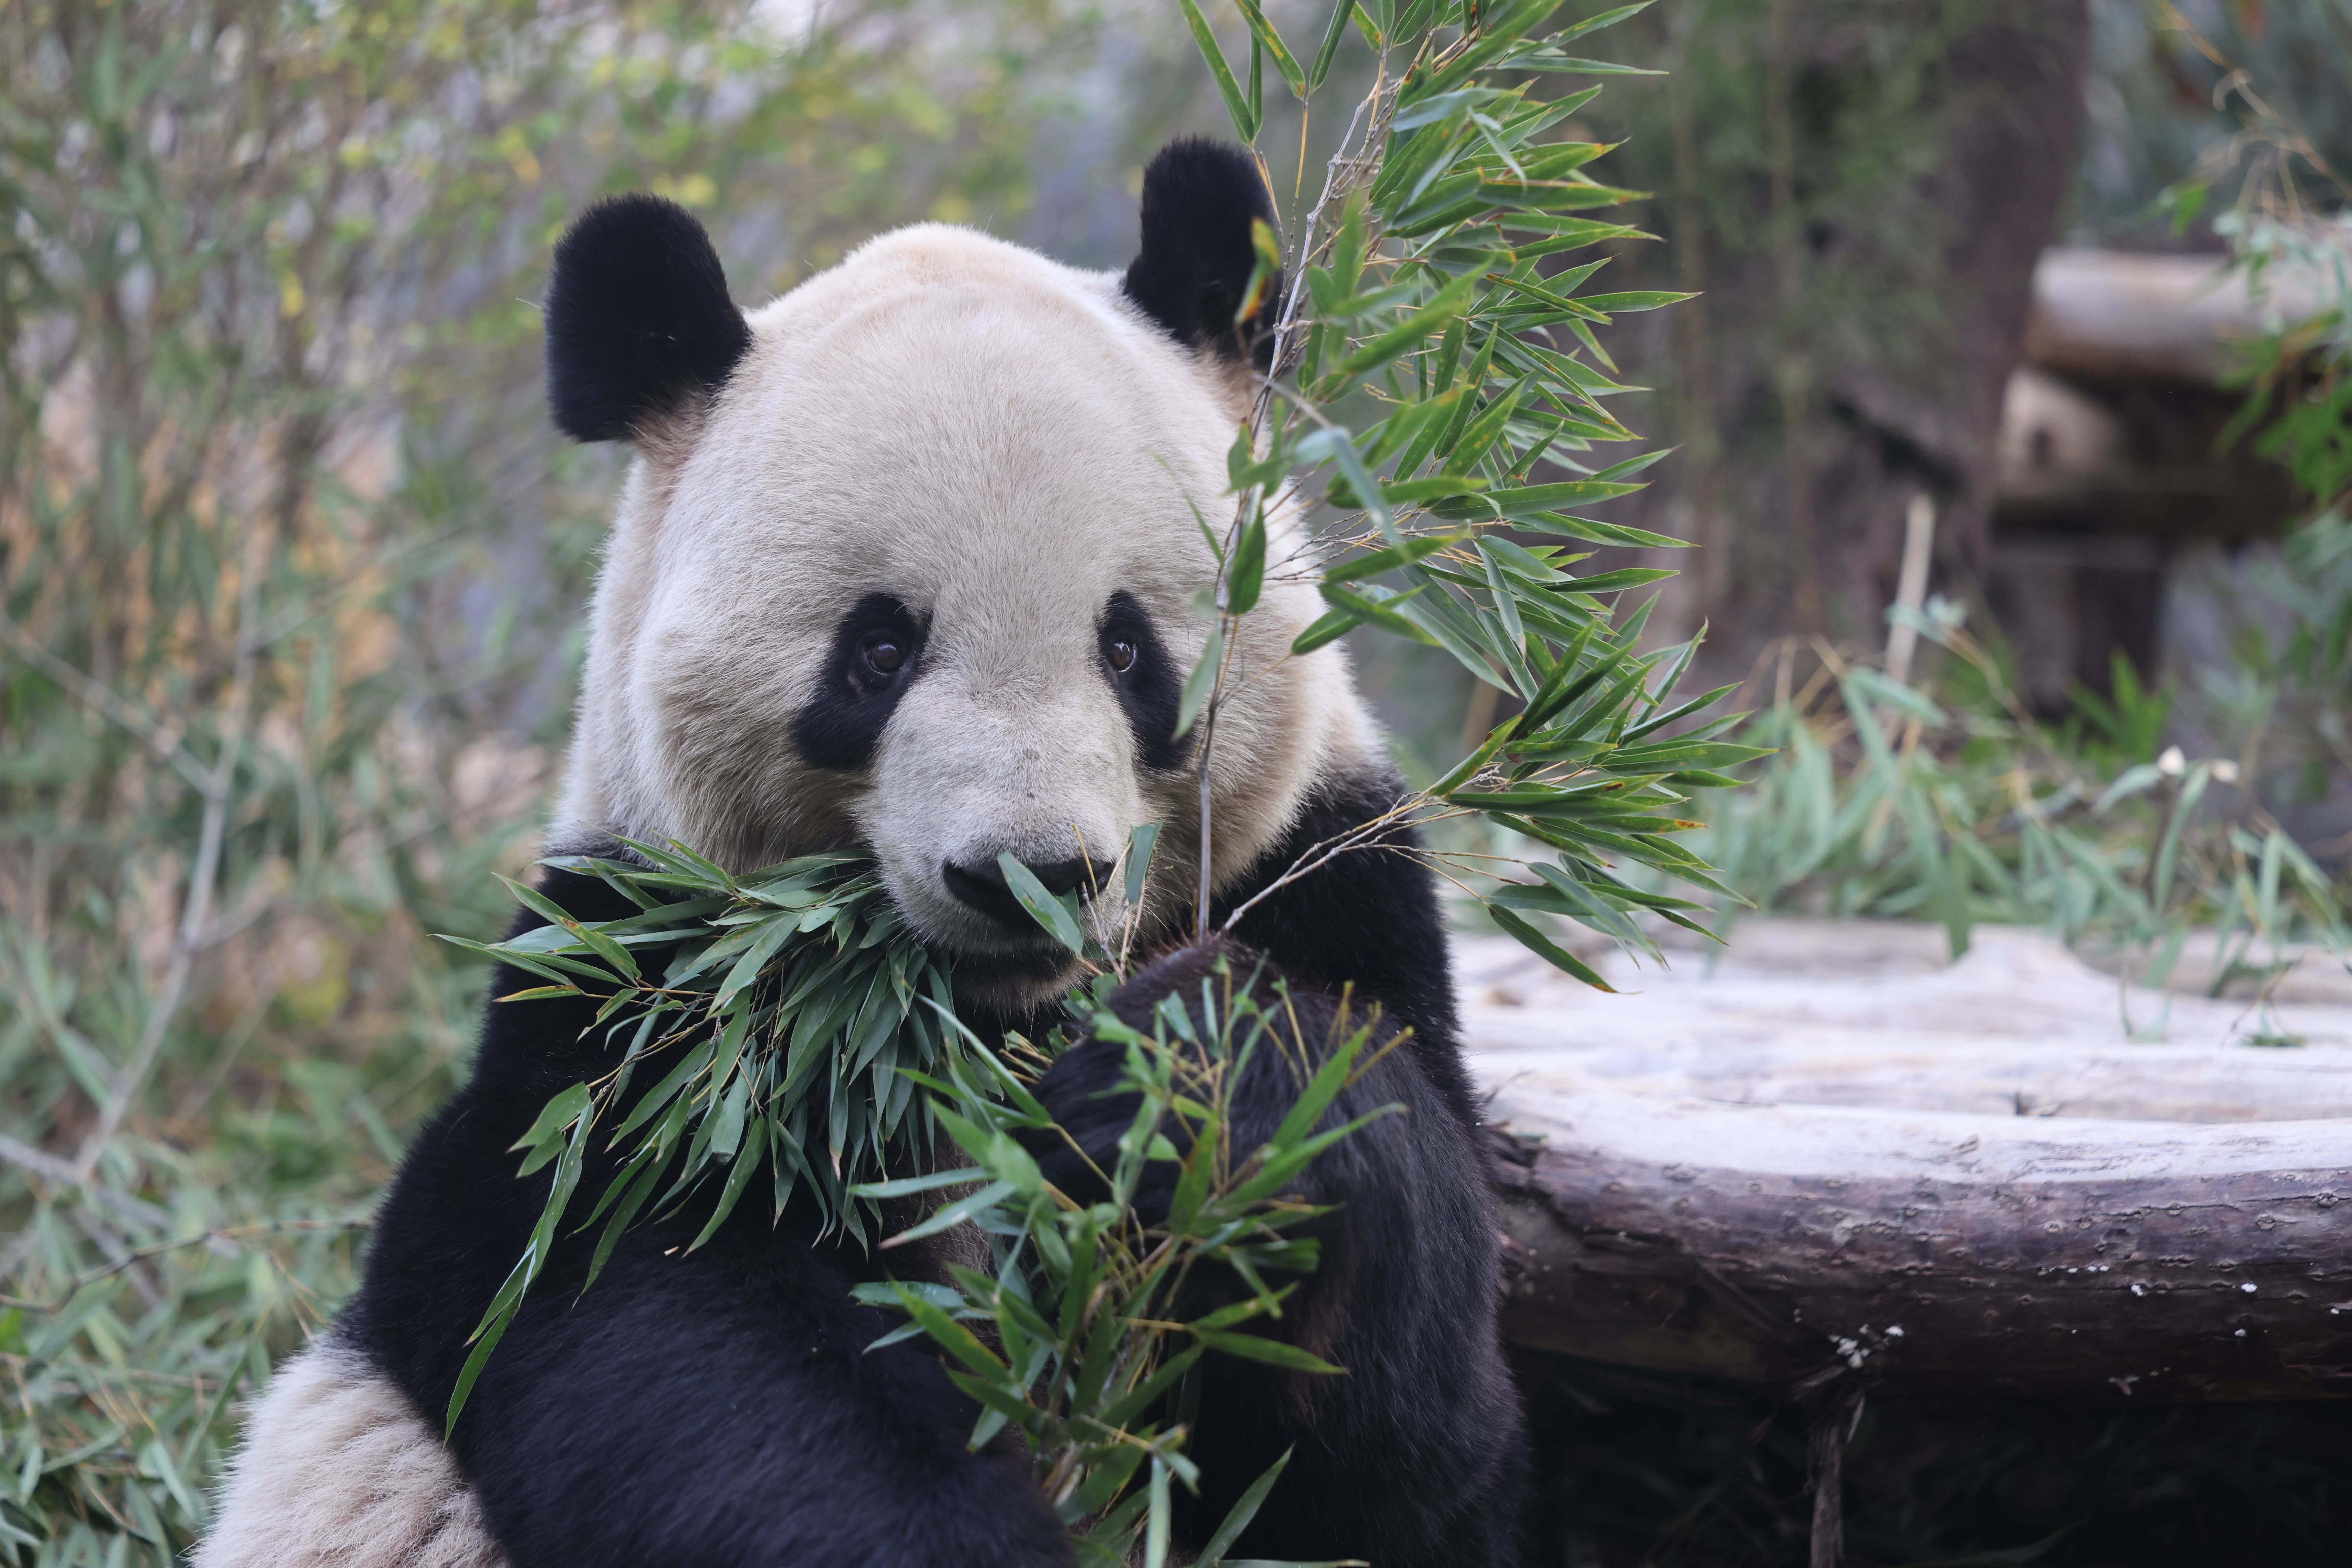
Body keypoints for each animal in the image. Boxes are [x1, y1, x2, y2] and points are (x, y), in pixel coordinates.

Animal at [198, 137, 1527, 1568]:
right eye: (878, 649)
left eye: (1129, 649)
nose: (1030, 877)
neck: (977, 1023)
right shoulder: (653, 1017)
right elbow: (675, 1335)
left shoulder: (1322, 880)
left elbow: (1401, 1422)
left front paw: (1184, 1079)